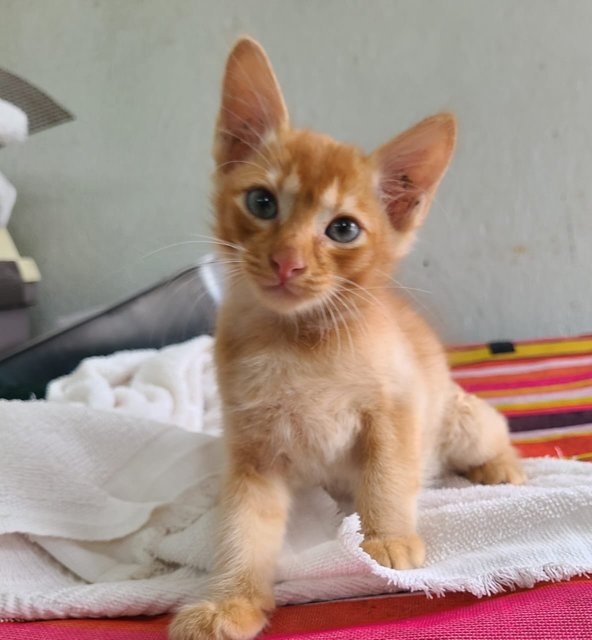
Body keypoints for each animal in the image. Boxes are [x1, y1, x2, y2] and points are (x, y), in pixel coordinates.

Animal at [169, 36, 524, 640]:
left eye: (343, 229)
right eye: (261, 202)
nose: (287, 261)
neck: (297, 342)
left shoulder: (395, 407)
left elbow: (387, 475)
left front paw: (386, 539)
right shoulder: (251, 450)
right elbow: (243, 526)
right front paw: (231, 602)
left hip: (459, 419)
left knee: (493, 429)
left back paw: (502, 466)